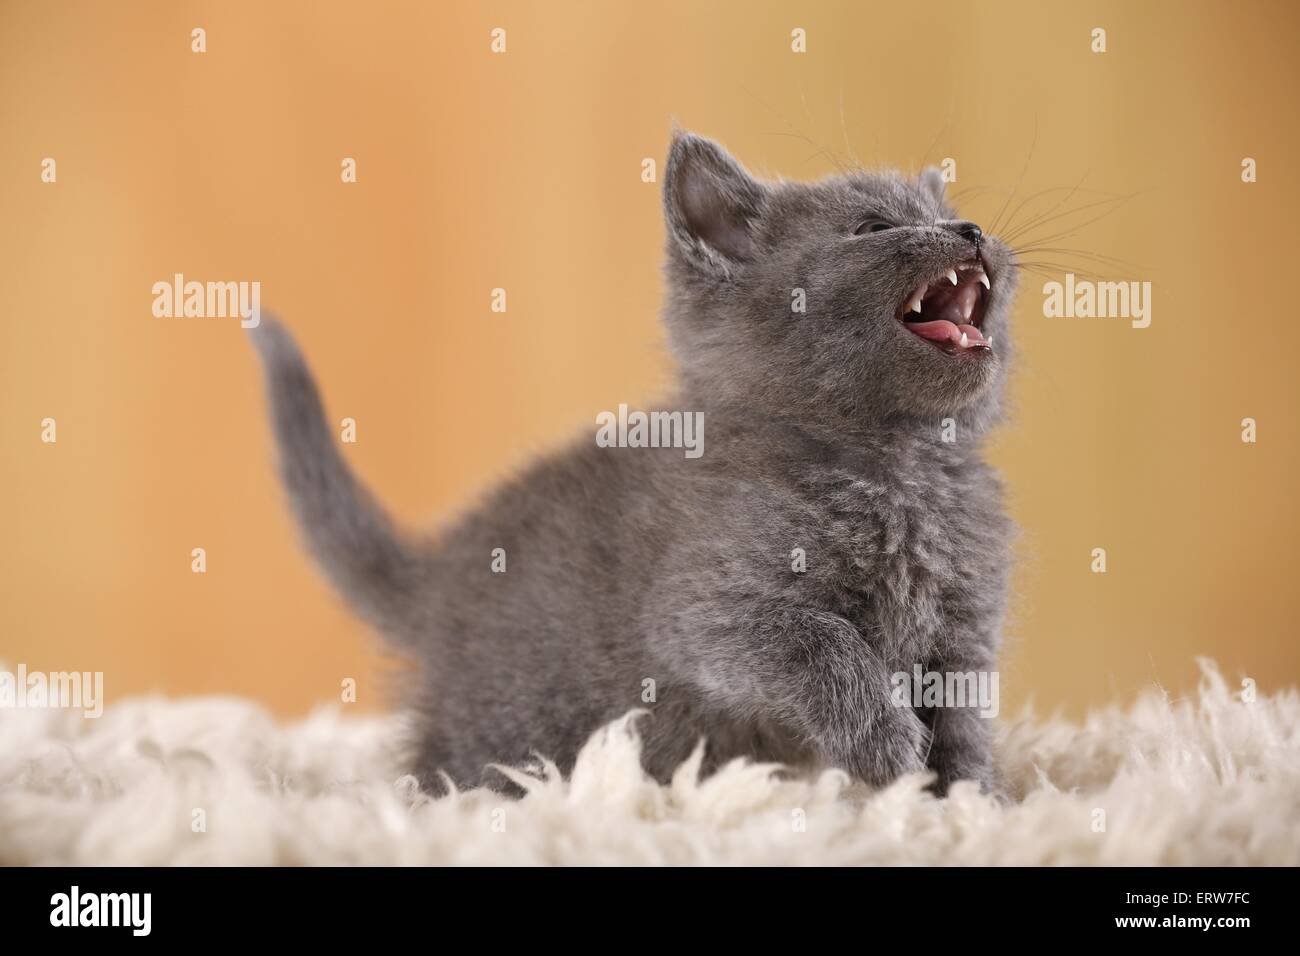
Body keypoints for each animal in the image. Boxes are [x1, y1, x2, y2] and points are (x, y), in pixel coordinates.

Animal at [250, 130, 1013, 796]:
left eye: (943, 214)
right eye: (873, 226)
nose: (972, 229)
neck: (900, 469)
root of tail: (441, 574)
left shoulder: (965, 630)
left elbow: (964, 716)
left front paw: (968, 799)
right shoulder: (706, 610)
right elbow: (823, 644)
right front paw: (886, 745)